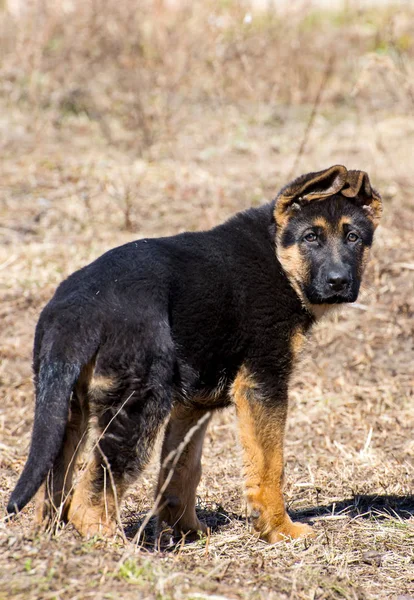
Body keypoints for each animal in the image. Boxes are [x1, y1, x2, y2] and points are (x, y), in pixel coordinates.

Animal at [7, 165, 382, 544]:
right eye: (310, 237)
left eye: (353, 237)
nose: (338, 281)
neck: (278, 257)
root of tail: (78, 308)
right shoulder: (264, 384)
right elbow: (270, 464)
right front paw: (279, 528)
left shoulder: (192, 407)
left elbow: (183, 470)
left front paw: (187, 531)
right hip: (140, 404)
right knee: (89, 495)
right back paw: (117, 545)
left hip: (65, 406)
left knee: (54, 486)